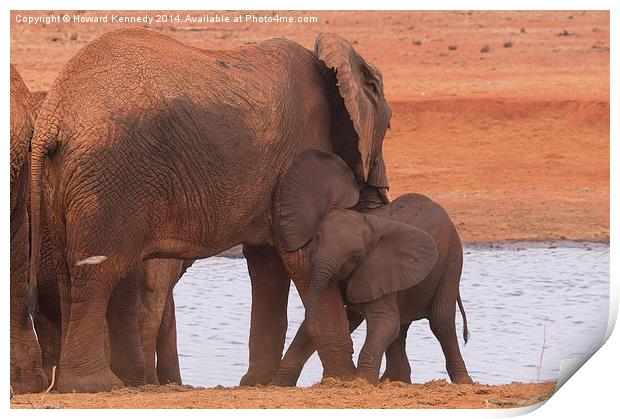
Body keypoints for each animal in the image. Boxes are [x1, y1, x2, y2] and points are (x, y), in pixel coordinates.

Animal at [29, 29, 392, 394]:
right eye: (388, 126)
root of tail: (53, 118)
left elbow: (267, 264)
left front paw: (258, 384)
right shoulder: (302, 151)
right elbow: (301, 257)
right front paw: (343, 381)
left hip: (65, 182)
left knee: (69, 272)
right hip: (110, 178)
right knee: (99, 273)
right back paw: (97, 385)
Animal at [268, 150, 472, 388]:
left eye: (355, 257)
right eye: (316, 238)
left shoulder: (379, 269)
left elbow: (385, 322)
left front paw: (361, 382)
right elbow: (349, 317)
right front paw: (275, 385)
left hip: (452, 260)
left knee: (440, 321)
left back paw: (463, 382)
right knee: (401, 327)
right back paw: (394, 381)